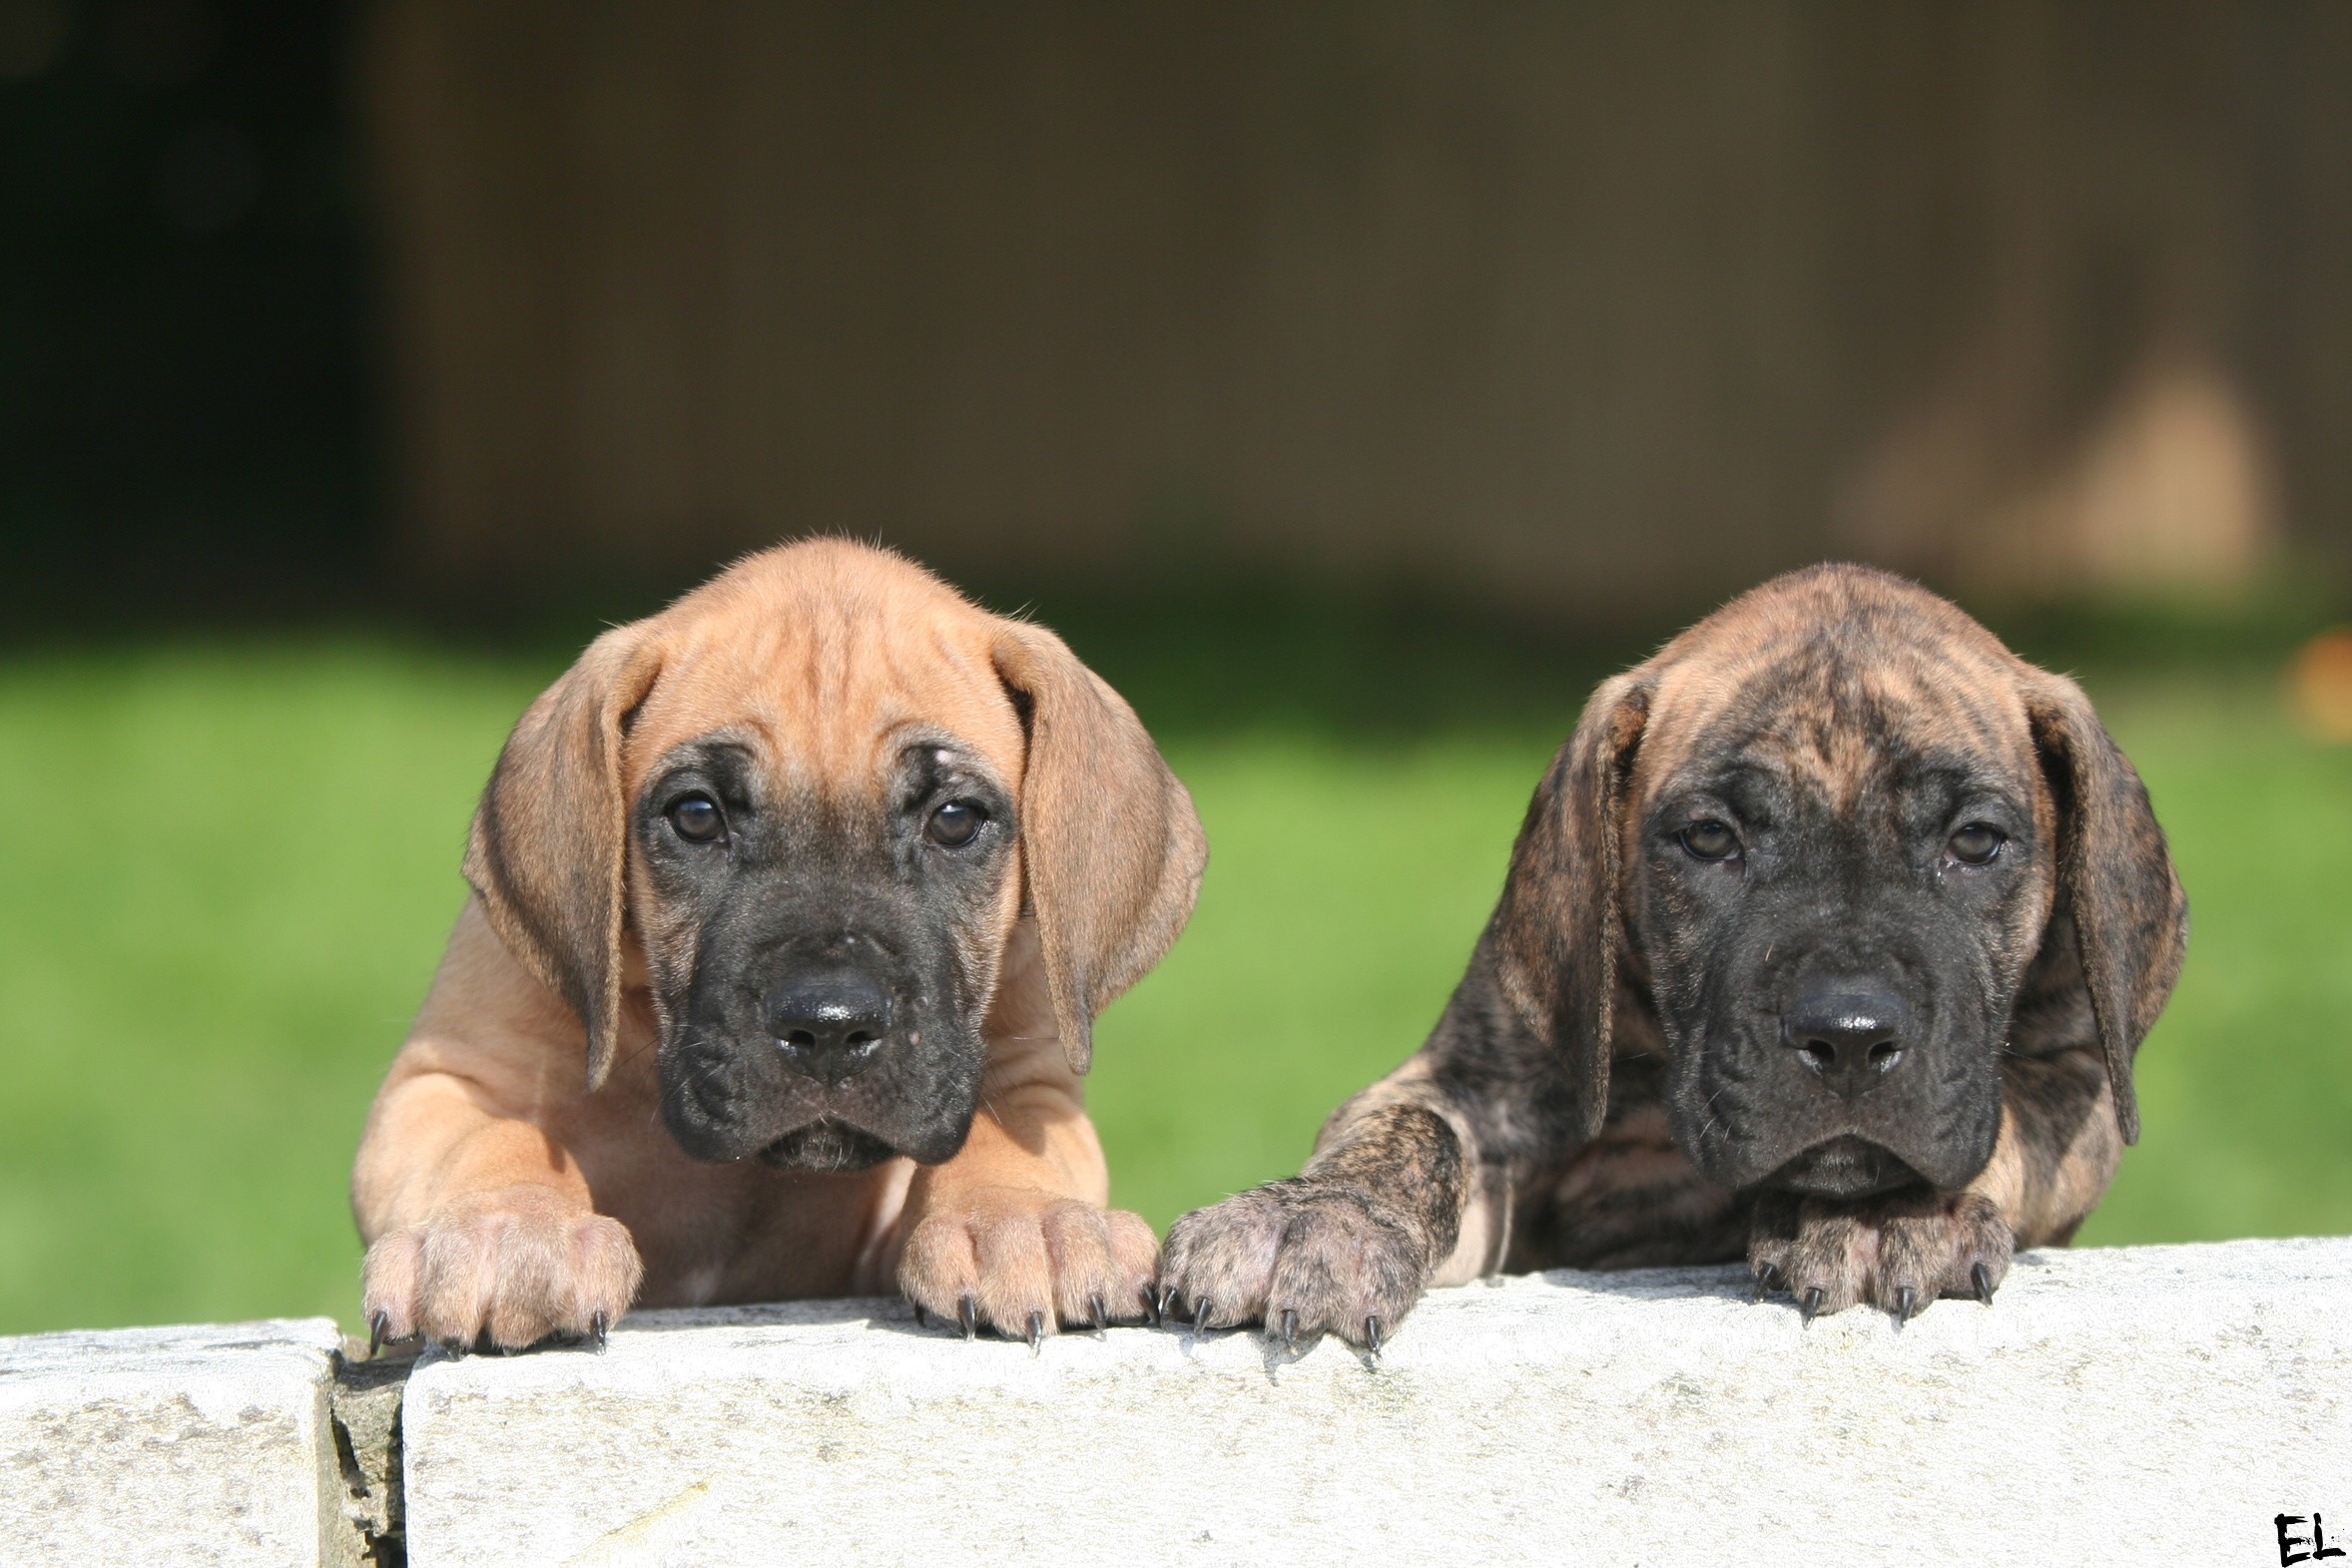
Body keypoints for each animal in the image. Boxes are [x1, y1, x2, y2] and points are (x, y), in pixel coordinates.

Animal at [357, 540, 1204, 1353]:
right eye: (697, 814)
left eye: (956, 819)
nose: (829, 1028)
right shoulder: (449, 1079)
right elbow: (495, 1134)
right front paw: (509, 1229)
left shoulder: (1034, 1093)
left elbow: (1001, 1134)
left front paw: (1024, 1219)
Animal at [1166, 571, 2172, 1344]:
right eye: (1710, 838)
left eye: (1975, 841)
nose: (1849, 1038)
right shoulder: (1478, 1082)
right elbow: (1407, 1129)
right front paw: (1316, 1215)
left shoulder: (2080, 1080)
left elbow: (2011, 1118)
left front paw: (1886, 1207)